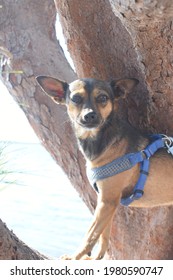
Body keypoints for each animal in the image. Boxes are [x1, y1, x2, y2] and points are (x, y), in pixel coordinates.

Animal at [36, 75, 173, 260]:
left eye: (102, 98)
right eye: (76, 98)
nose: (89, 116)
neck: (98, 141)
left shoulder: (107, 201)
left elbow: (90, 235)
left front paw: (74, 258)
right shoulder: (106, 201)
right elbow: (103, 236)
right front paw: (95, 258)